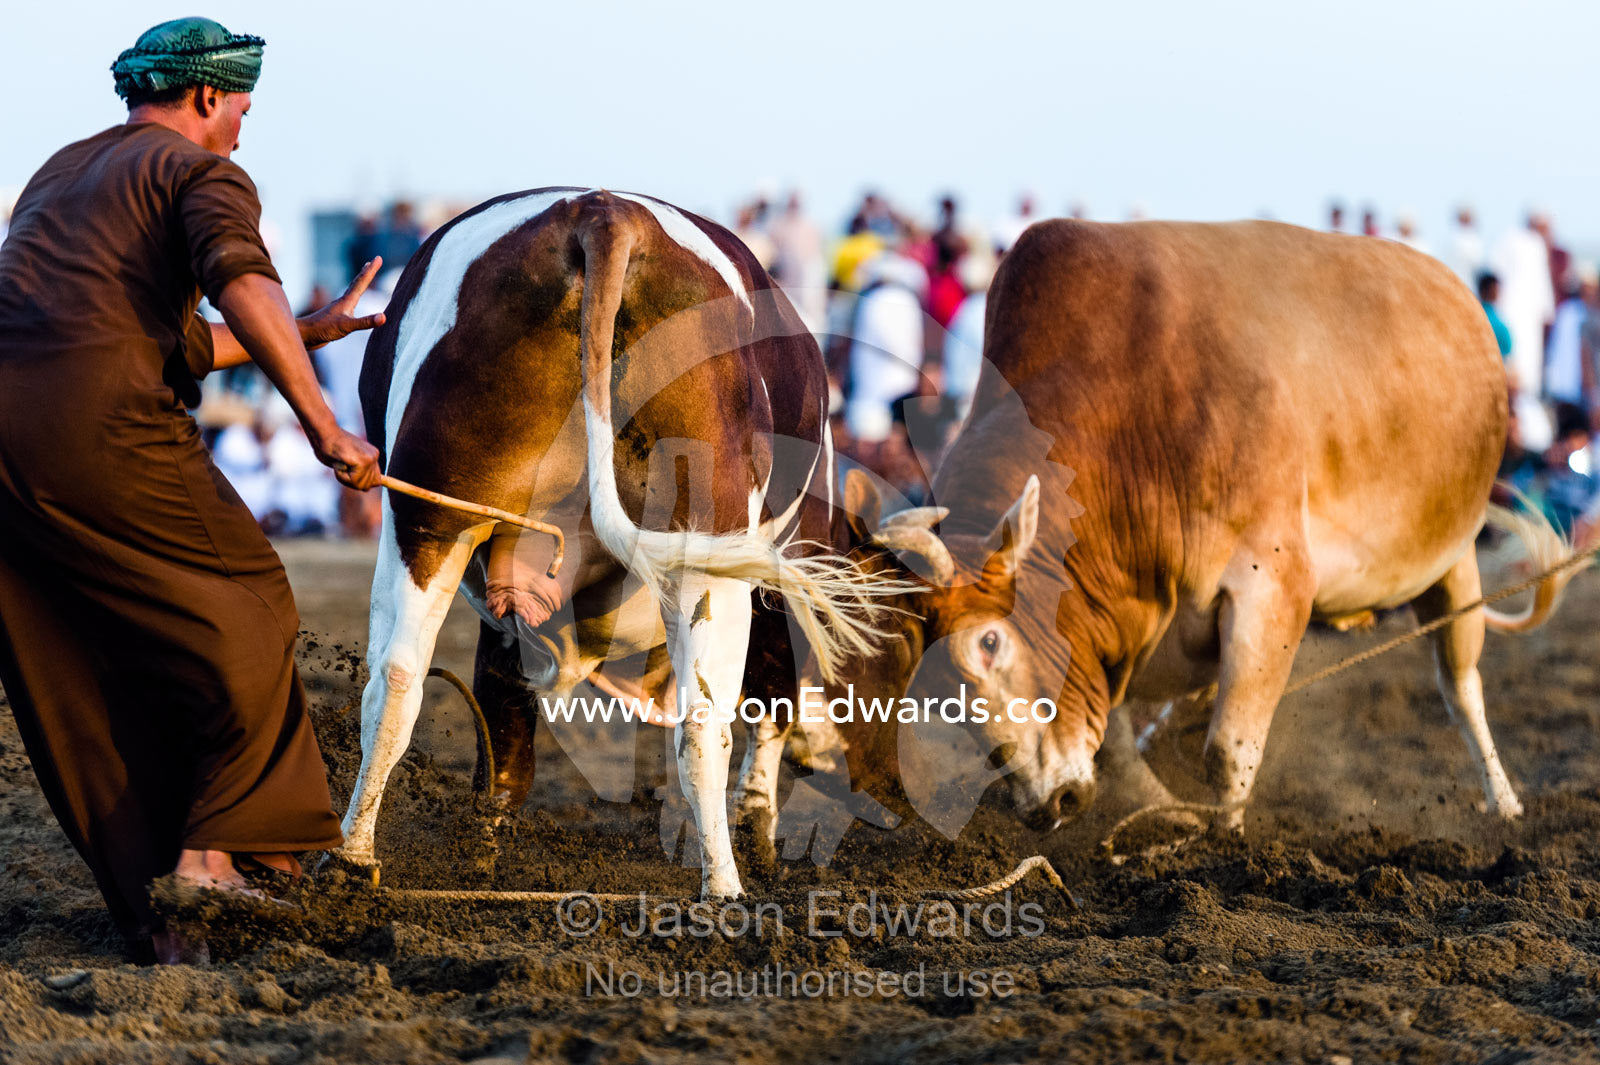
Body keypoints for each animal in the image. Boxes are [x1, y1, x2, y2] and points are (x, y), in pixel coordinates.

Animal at [334, 188, 907, 898]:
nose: (890, 793)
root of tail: (601, 214)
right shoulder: (776, 578)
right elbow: (771, 700)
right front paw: (757, 833)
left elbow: (503, 728)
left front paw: (481, 855)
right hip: (707, 553)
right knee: (703, 724)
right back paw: (725, 890)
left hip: (429, 517)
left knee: (396, 680)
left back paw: (351, 858)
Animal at [848, 218, 1580, 835]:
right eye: (934, 695)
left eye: (991, 643)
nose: (1047, 804)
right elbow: (1125, 744)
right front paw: (1162, 817)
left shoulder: (1271, 584)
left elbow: (1229, 750)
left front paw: (1223, 843)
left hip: (1455, 563)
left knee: (1462, 689)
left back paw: (1503, 802)